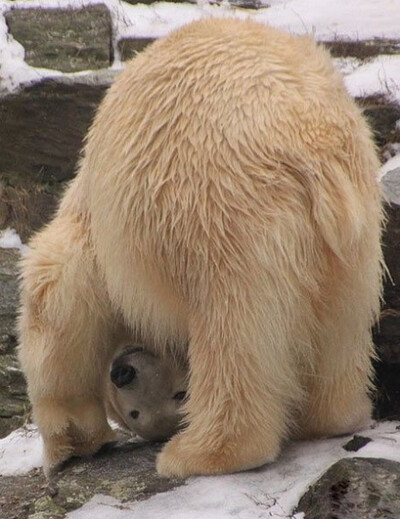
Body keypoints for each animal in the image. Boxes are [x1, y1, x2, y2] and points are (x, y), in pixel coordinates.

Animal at [17, 17, 382, 480]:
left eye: (176, 396)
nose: (123, 373)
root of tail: (312, 144)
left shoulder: (99, 230)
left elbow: (59, 301)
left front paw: (69, 443)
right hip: (353, 234)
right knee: (342, 321)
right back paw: (333, 415)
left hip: (220, 207)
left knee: (235, 324)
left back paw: (201, 453)